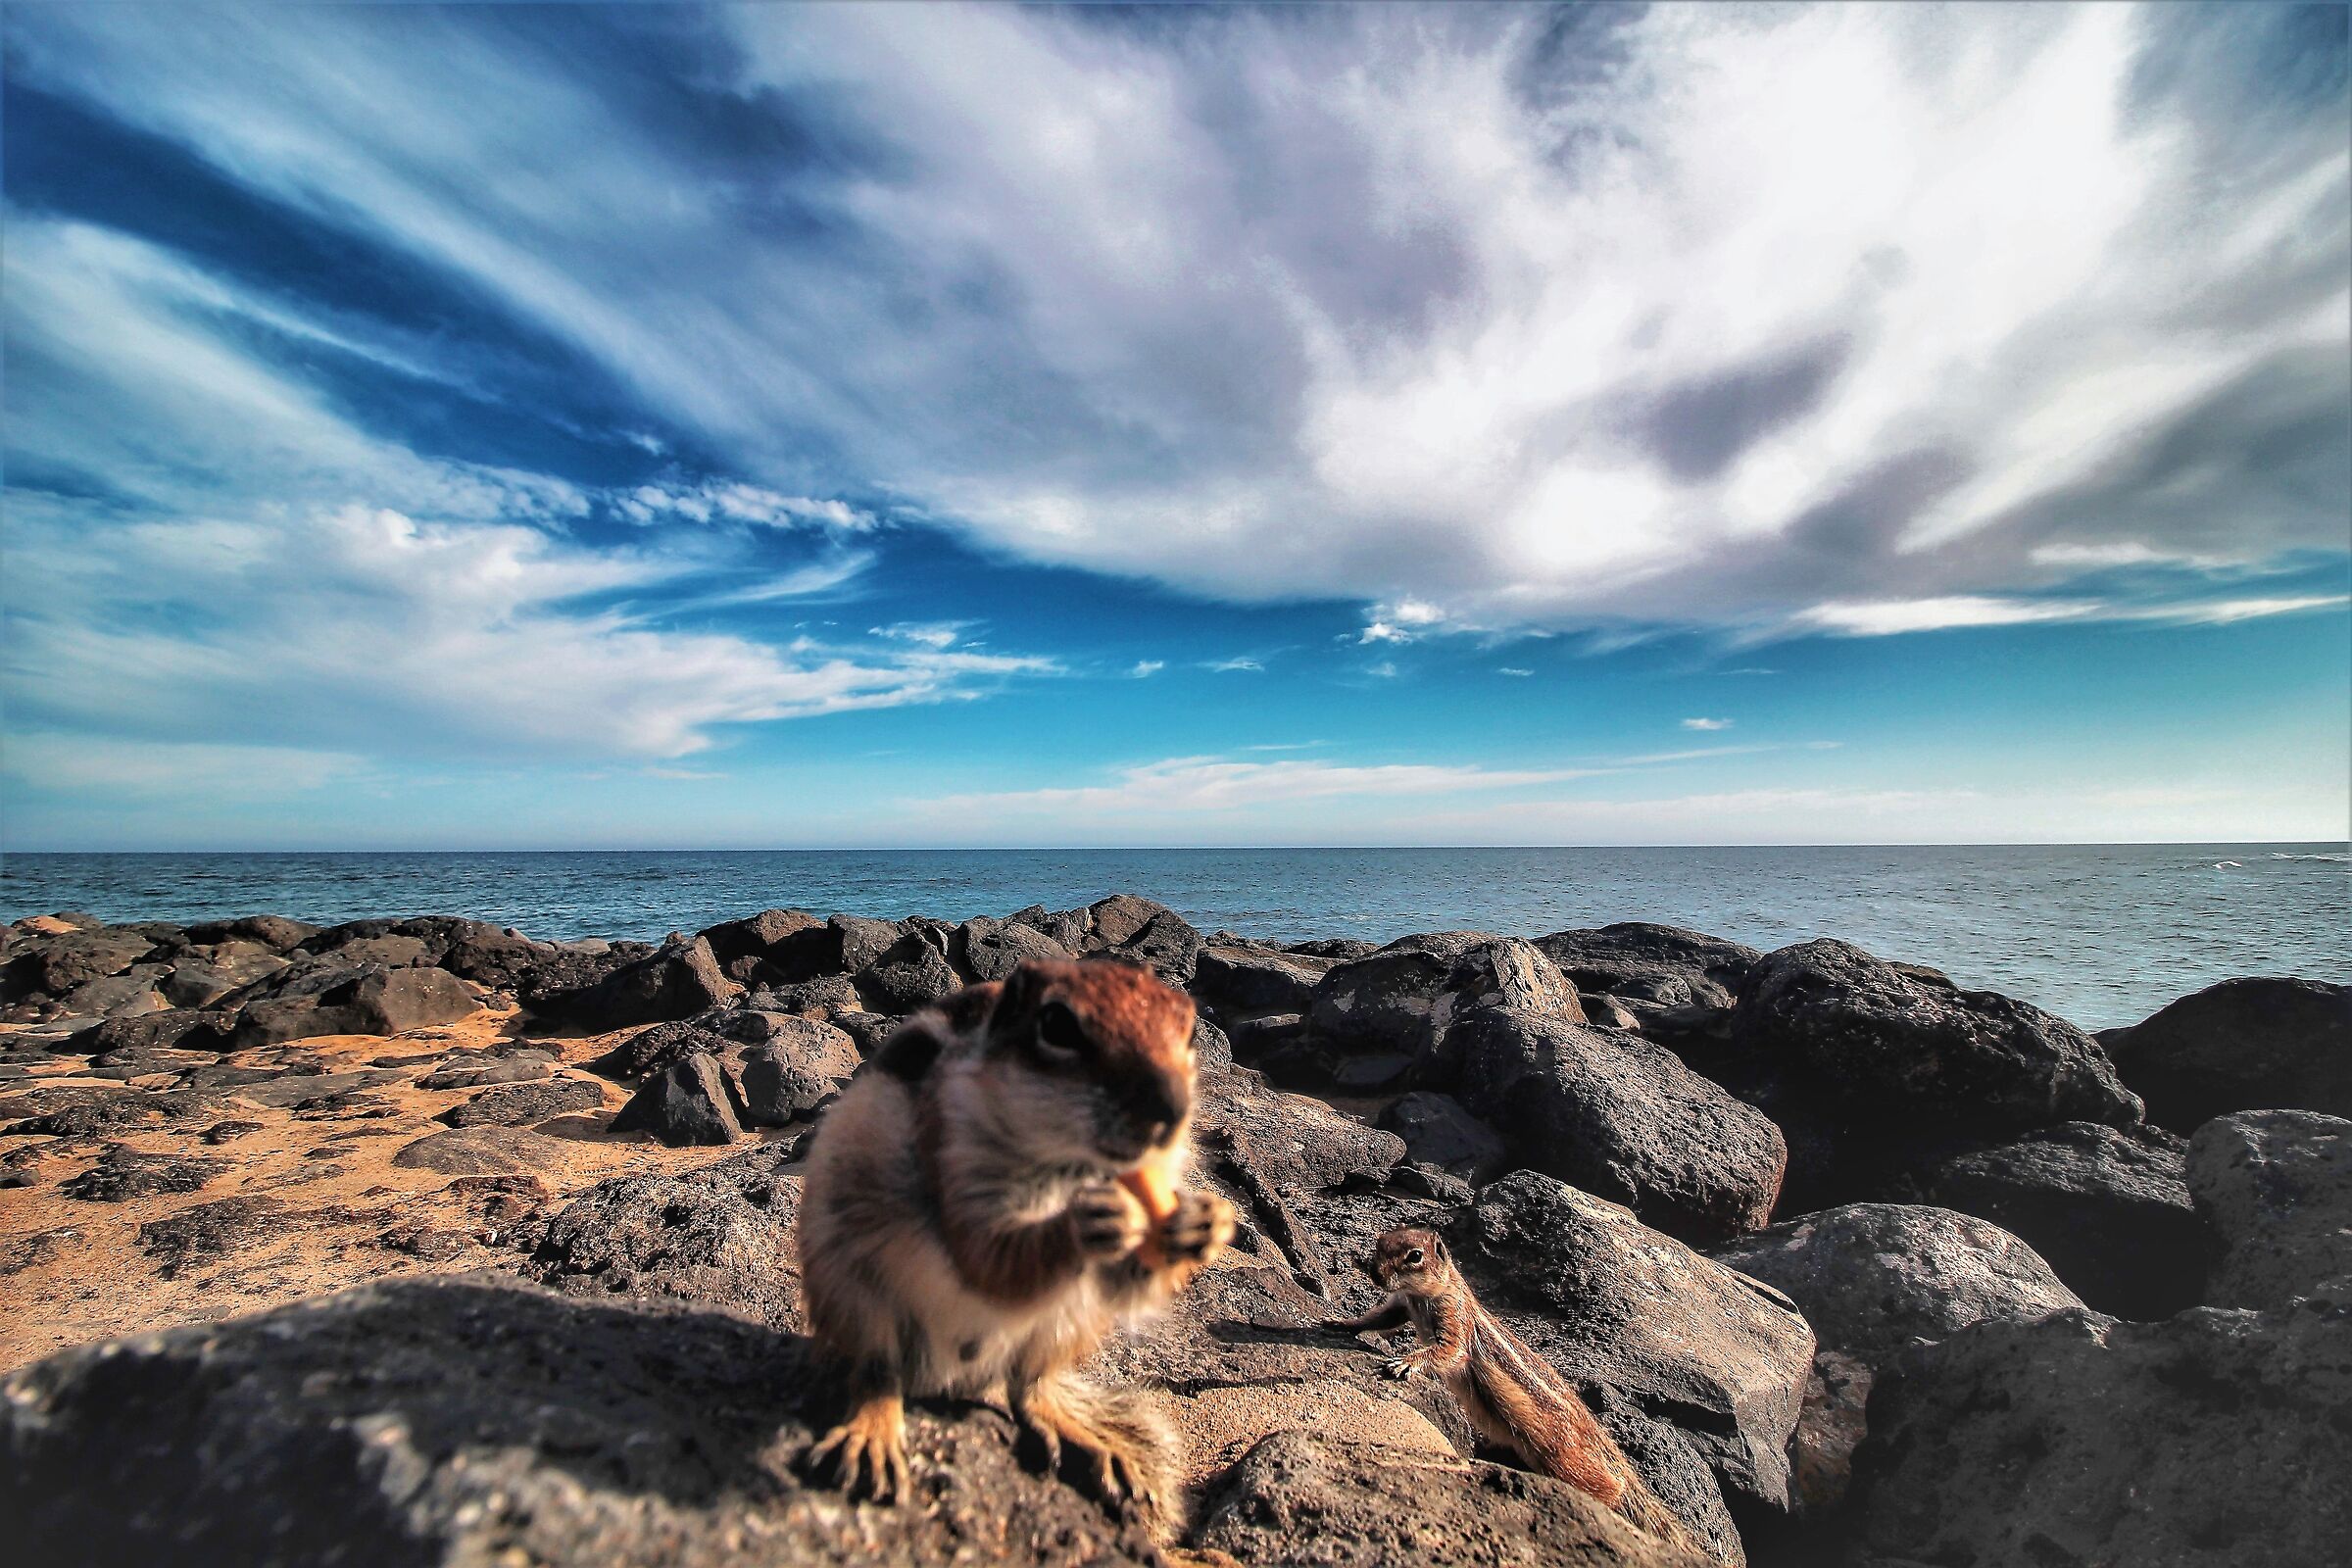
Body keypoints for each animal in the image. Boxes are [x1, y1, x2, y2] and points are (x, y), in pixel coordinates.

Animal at [797, 957, 1236, 1538]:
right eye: (1057, 1025)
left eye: (1189, 1030)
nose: (1172, 1108)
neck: (1072, 1168)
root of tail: (954, 1377)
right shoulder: (955, 1154)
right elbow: (988, 1260)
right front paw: (1082, 1225)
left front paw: (1206, 1223)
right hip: (852, 1295)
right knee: (875, 1374)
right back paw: (872, 1435)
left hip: (1066, 1326)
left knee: (1028, 1390)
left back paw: (1091, 1441)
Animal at [1327, 1225, 1710, 1558]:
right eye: (1381, 1243)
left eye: (1414, 1256)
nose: (1374, 1273)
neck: (1426, 1294)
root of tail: (1595, 1434)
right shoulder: (1400, 1305)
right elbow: (1380, 1318)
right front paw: (1343, 1322)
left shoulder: (1454, 1321)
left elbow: (1447, 1352)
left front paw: (1404, 1362)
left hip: (1565, 1459)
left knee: (1608, 1486)